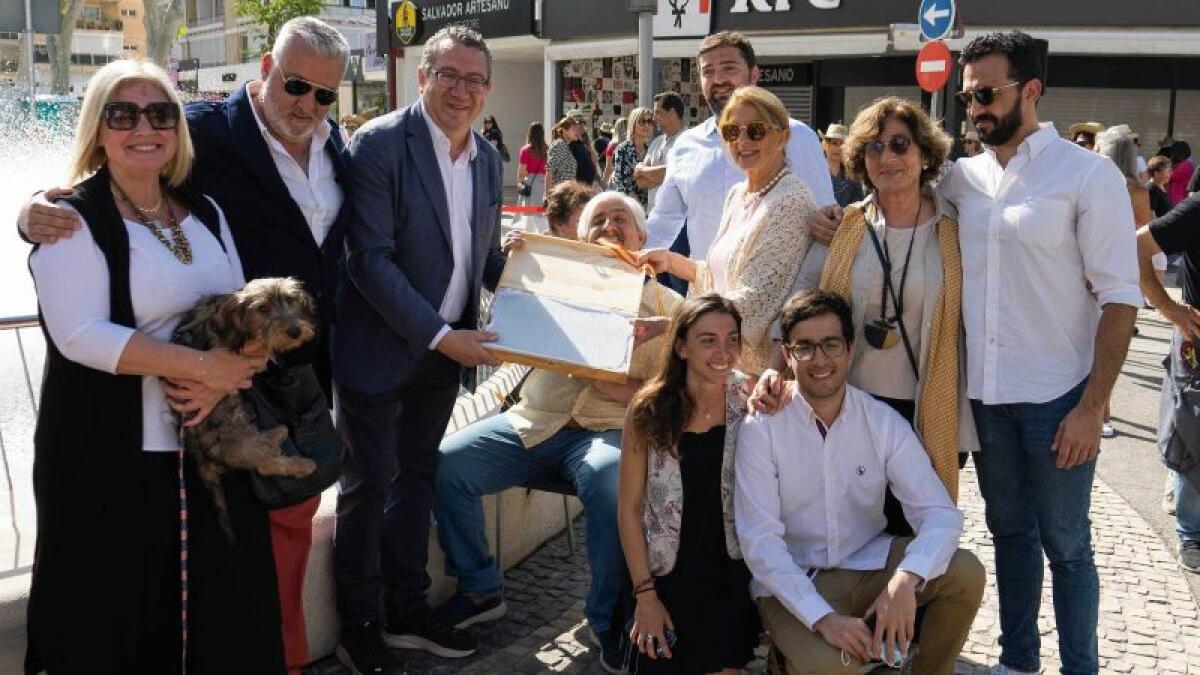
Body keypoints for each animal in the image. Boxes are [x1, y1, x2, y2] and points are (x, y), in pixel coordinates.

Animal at [171, 276, 319, 538]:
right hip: (237, 429)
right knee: (264, 463)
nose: (295, 331)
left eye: (291, 299)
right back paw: (296, 458)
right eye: (263, 309)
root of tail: (203, 459)